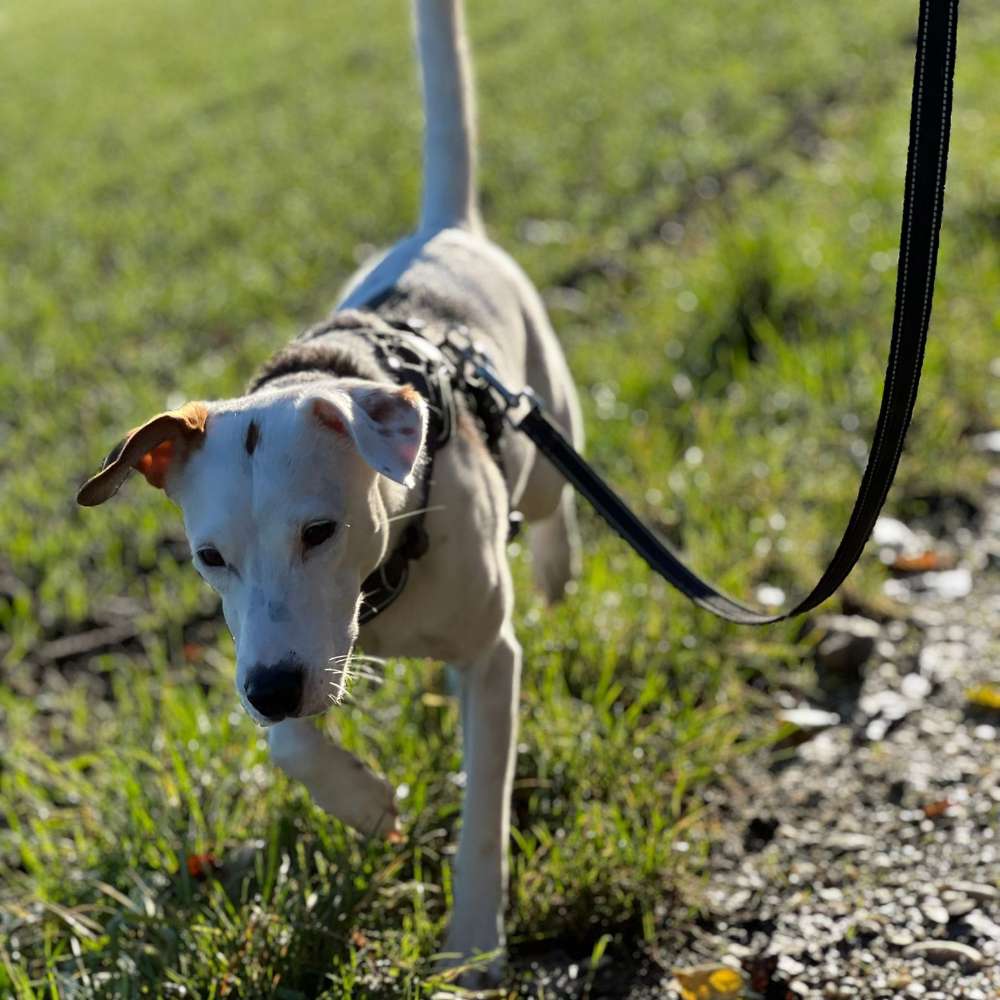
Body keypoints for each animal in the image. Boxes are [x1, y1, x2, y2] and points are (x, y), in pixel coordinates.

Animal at [80, 0, 584, 984]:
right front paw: (366, 800)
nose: (273, 688)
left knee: (556, 500)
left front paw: (473, 944)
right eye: (209, 558)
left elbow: (483, 813)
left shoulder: (491, 656)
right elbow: (289, 742)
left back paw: (554, 568)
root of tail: (443, 230)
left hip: (547, 435)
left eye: (320, 530)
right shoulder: (283, 654)